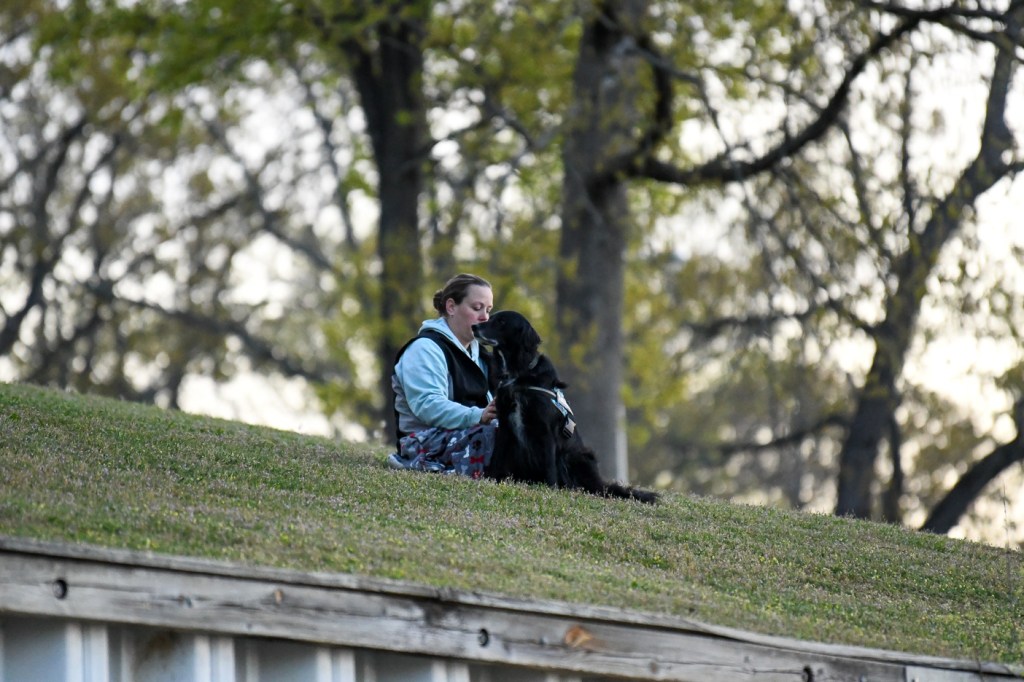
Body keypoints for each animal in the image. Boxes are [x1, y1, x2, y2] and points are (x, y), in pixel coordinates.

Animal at [472, 311, 658, 504]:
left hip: (575, 456)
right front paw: (491, 478)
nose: (474, 327)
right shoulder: (505, 425)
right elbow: (497, 457)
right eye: (490, 317)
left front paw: (550, 489)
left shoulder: (545, 430)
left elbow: (548, 465)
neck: (518, 374)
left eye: (501, 322)